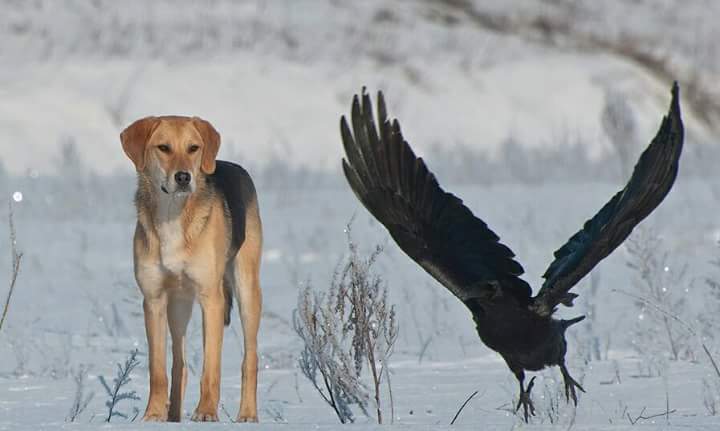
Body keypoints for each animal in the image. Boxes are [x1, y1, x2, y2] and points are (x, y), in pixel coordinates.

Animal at [119, 116, 262, 424]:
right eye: (163, 148)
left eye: (193, 148)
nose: (183, 177)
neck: (173, 215)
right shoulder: (154, 300)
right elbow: (158, 370)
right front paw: (153, 414)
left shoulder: (211, 298)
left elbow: (211, 368)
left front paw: (206, 411)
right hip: (179, 306)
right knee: (179, 364)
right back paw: (173, 414)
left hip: (247, 289)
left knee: (250, 358)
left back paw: (247, 414)